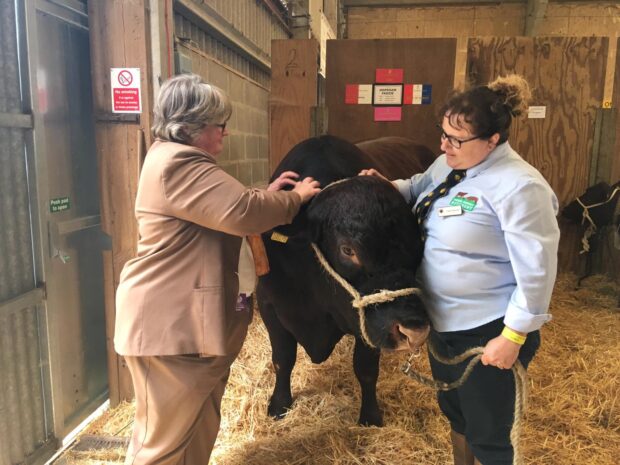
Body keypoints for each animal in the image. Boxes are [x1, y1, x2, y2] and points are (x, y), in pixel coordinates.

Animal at [256, 134, 436, 424]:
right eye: (348, 250)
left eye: (420, 243)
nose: (415, 331)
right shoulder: (269, 305)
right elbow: (282, 359)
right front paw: (279, 404)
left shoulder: (367, 323)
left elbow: (366, 369)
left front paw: (370, 417)